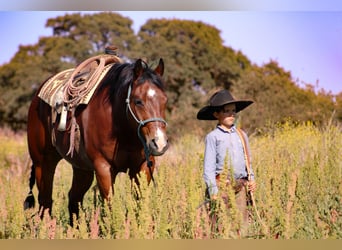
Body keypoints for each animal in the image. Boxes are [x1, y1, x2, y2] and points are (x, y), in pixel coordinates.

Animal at [23, 57, 170, 225]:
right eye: (138, 101)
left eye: (165, 100)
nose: (159, 143)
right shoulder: (103, 168)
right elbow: (110, 206)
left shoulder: (143, 166)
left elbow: (139, 205)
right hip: (43, 163)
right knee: (45, 202)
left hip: (81, 168)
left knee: (73, 199)